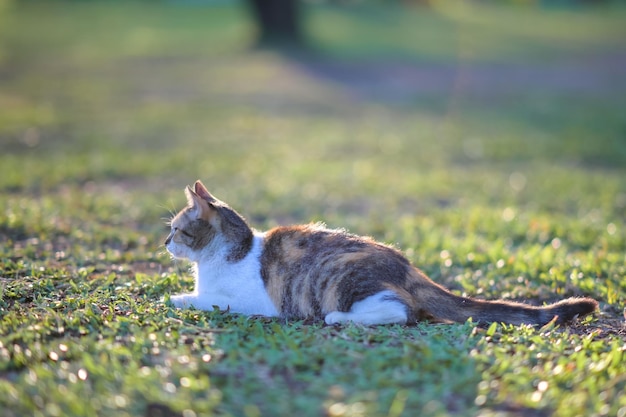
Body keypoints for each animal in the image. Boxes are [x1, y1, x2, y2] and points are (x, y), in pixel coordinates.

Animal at [165, 180, 596, 326]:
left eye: (175, 229)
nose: (164, 243)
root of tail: (407, 266)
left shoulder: (249, 302)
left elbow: (202, 300)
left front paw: (177, 297)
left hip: (343, 281)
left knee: (402, 311)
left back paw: (339, 318)